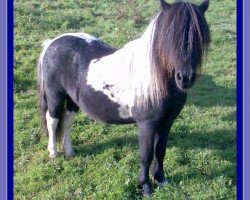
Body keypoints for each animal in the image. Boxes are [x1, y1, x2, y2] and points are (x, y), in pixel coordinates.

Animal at [36, 0, 209, 195]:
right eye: (168, 36)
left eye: (199, 36)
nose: (185, 78)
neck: (156, 79)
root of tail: (52, 43)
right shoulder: (147, 124)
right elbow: (146, 155)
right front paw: (145, 186)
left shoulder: (167, 123)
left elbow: (160, 151)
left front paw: (161, 181)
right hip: (55, 97)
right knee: (52, 121)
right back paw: (53, 153)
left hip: (73, 101)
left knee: (66, 122)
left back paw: (70, 152)